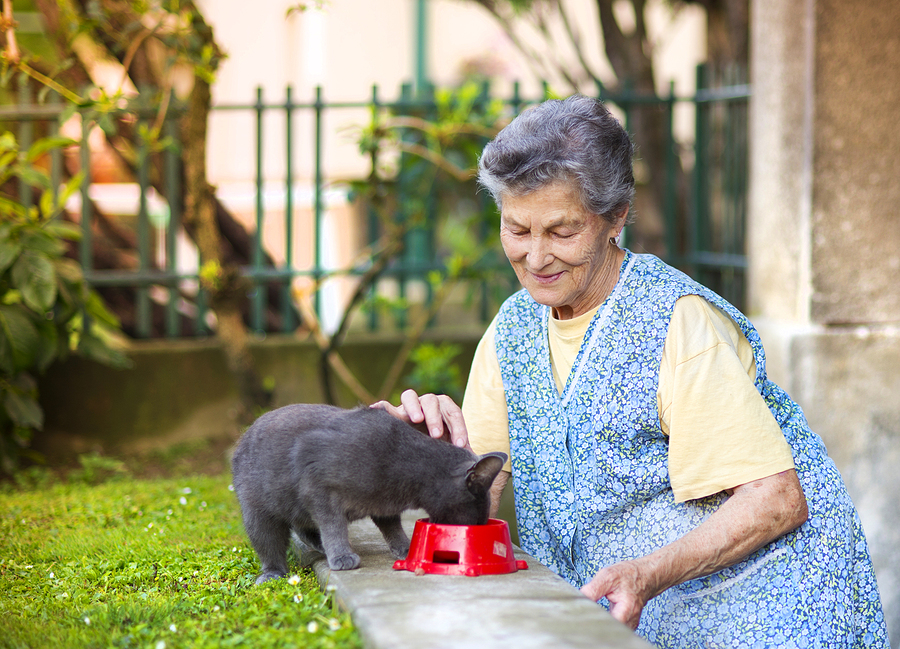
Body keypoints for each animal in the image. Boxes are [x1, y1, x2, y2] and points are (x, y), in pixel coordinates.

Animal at [230, 402, 506, 580]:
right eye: (477, 518)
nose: (478, 526)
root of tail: (240, 440)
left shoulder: (384, 504)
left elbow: (392, 527)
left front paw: (406, 547)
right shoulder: (318, 486)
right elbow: (333, 524)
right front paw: (342, 556)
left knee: (302, 526)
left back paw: (318, 545)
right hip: (257, 510)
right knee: (269, 543)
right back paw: (273, 574)